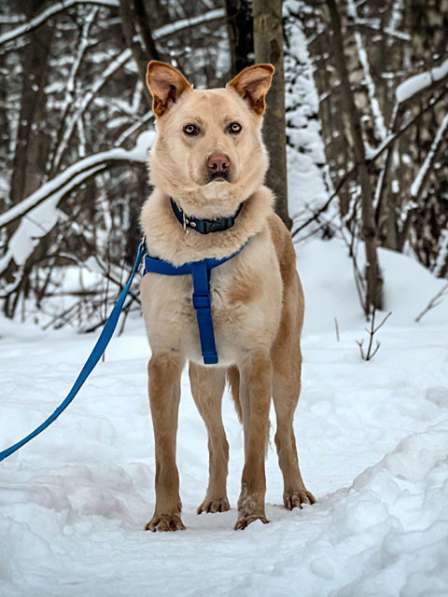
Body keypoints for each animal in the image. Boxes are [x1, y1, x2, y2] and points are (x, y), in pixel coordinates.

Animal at [141, 60, 316, 532]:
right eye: (191, 129)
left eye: (234, 127)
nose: (219, 162)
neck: (207, 237)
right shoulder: (164, 361)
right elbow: (164, 456)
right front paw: (165, 518)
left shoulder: (256, 360)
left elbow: (255, 450)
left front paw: (252, 515)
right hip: (205, 376)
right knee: (217, 440)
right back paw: (216, 498)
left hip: (285, 364)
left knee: (283, 432)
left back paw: (295, 493)